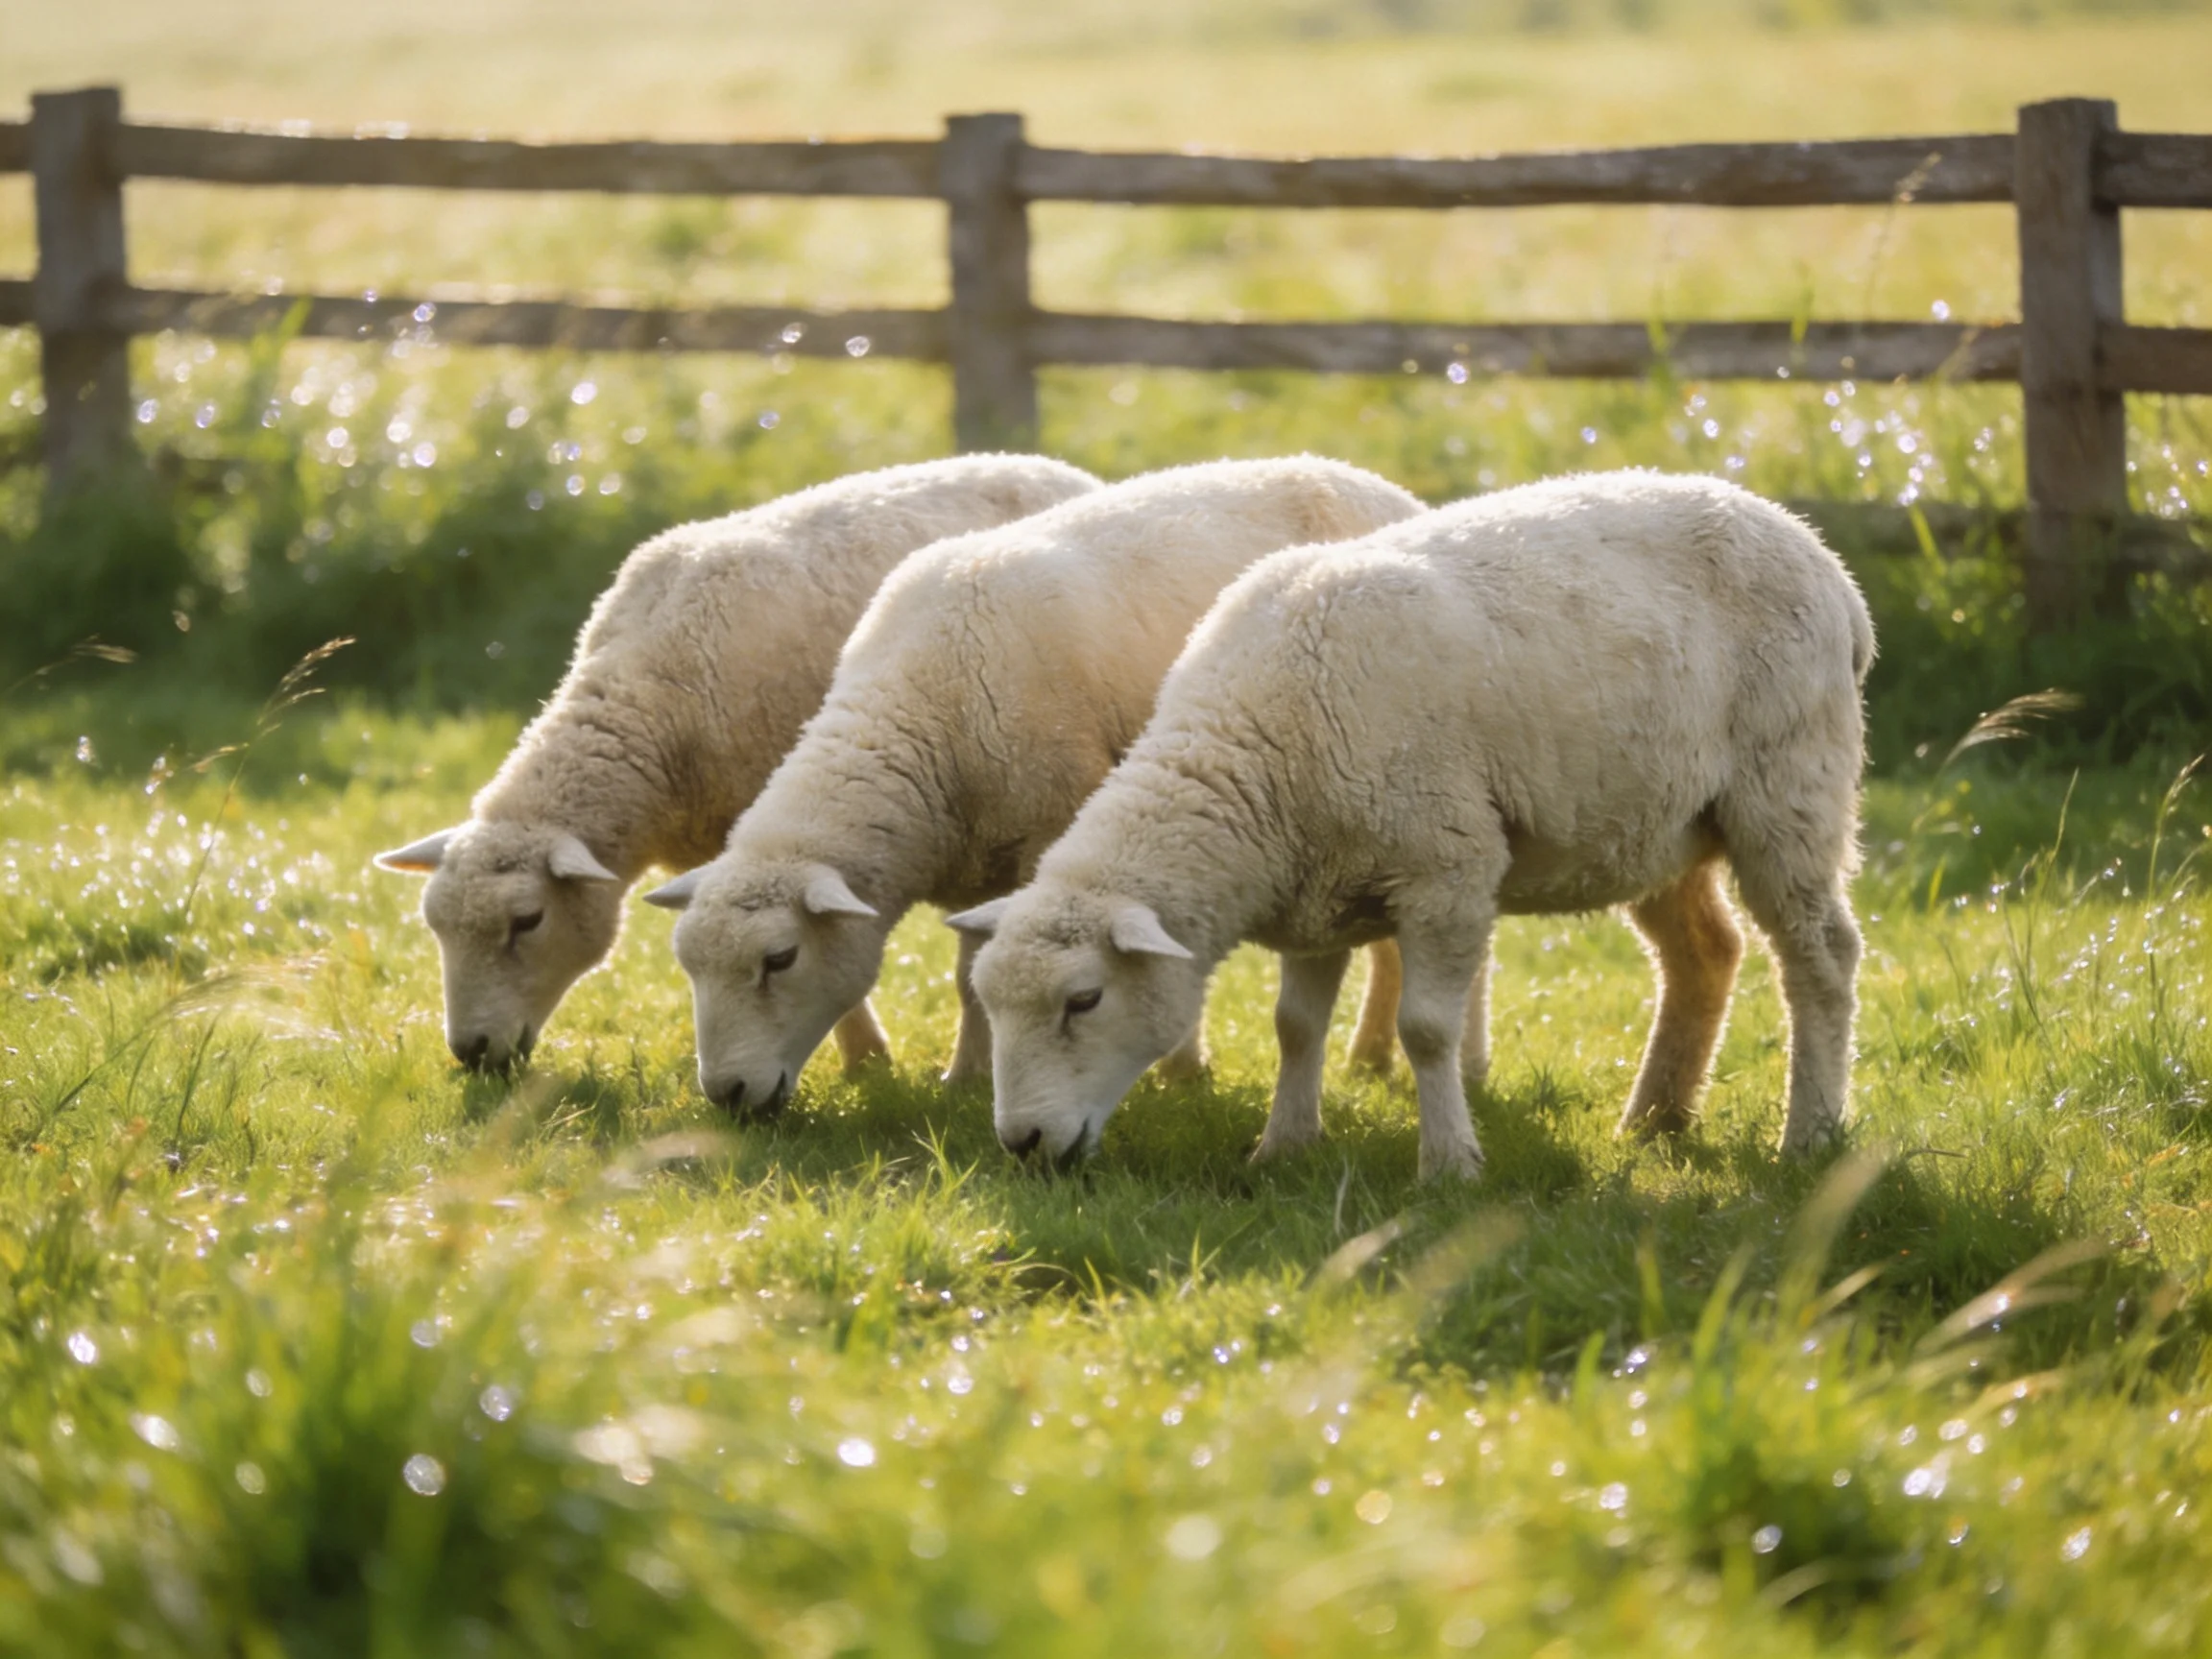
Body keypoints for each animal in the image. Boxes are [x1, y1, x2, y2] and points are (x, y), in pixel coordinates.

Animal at [372, 454, 1100, 1071]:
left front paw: (866, 1061)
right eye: (434, 927)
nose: (472, 1054)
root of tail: (1056, 468)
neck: (644, 703)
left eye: (526, 921)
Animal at [642, 456, 1425, 1118]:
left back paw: (1378, 1059)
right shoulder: (977, 855)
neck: (921, 705)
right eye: (687, 967)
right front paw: (965, 1078)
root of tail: (1367, 478)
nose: (727, 1095)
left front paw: (970, 1079)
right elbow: (972, 972)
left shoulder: (1047, 831)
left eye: (779, 959)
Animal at [951, 470, 1875, 1180]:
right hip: (1654, 822)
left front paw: (1449, 1166)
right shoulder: (1314, 891)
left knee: (1821, 955)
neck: (1257, 751)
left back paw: (1809, 1136)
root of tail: (1820, 556)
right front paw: (1283, 1148)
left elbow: (1427, 1030)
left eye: (1084, 1000)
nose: (1021, 1142)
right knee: (1705, 953)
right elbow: (1294, 1028)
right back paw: (1655, 1120)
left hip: (1789, 787)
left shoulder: (1447, 868)